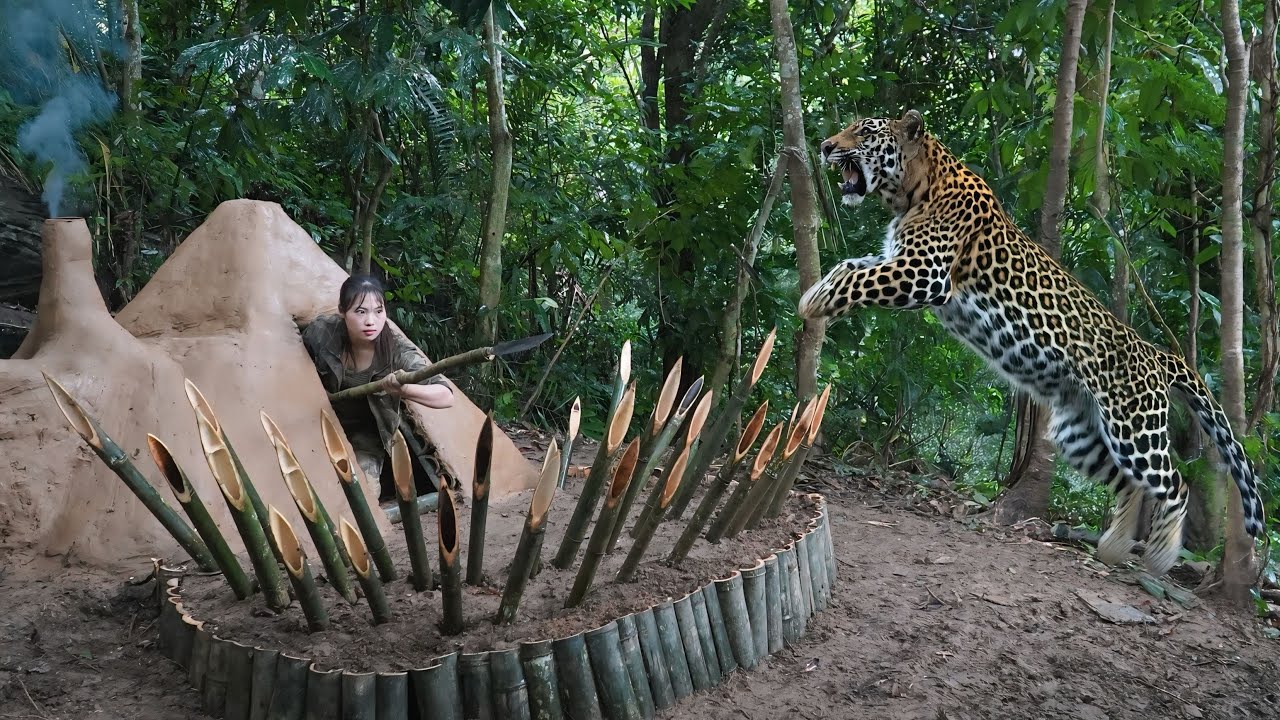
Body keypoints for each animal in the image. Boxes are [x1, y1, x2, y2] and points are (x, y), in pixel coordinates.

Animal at [797, 109, 1267, 576]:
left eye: (864, 132)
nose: (824, 146)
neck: (911, 191)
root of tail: (1159, 354)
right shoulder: (894, 260)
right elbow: (848, 266)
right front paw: (813, 296)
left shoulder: (923, 274)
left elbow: (857, 280)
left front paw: (814, 303)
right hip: (1079, 433)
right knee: (1128, 482)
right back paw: (1115, 545)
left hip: (1134, 428)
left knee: (1176, 485)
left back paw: (1161, 554)